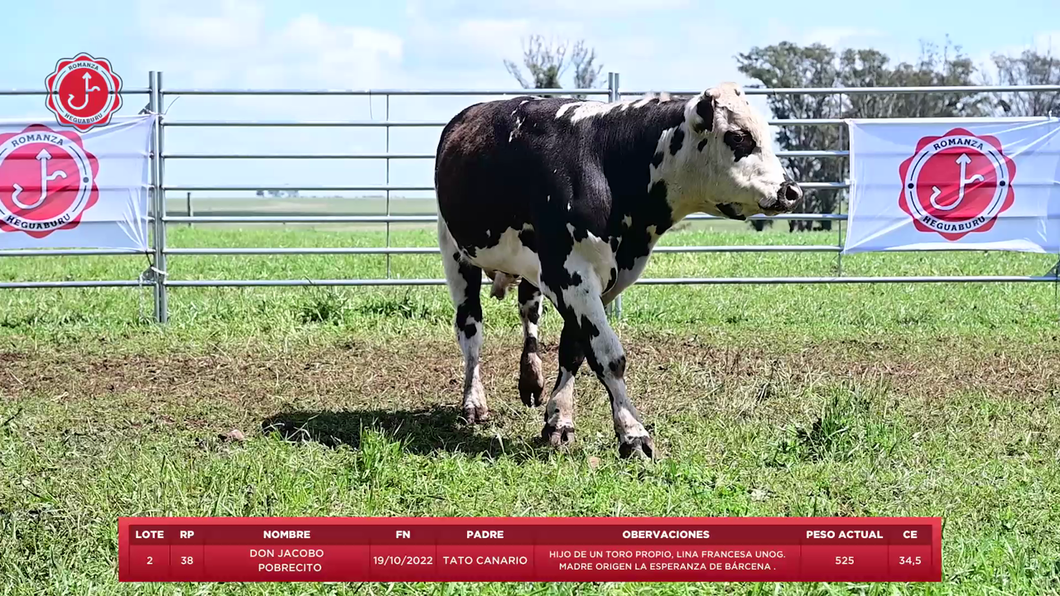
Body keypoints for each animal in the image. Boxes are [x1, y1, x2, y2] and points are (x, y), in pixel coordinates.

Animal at [434, 81, 797, 456]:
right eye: (738, 136)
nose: (791, 191)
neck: (611, 164)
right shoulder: (571, 277)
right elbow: (609, 357)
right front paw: (632, 433)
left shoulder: (599, 281)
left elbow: (573, 350)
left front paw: (559, 419)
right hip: (456, 255)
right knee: (470, 330)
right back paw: (474, 402)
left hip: (530, 269)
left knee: (529, 313)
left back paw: (531, 378)